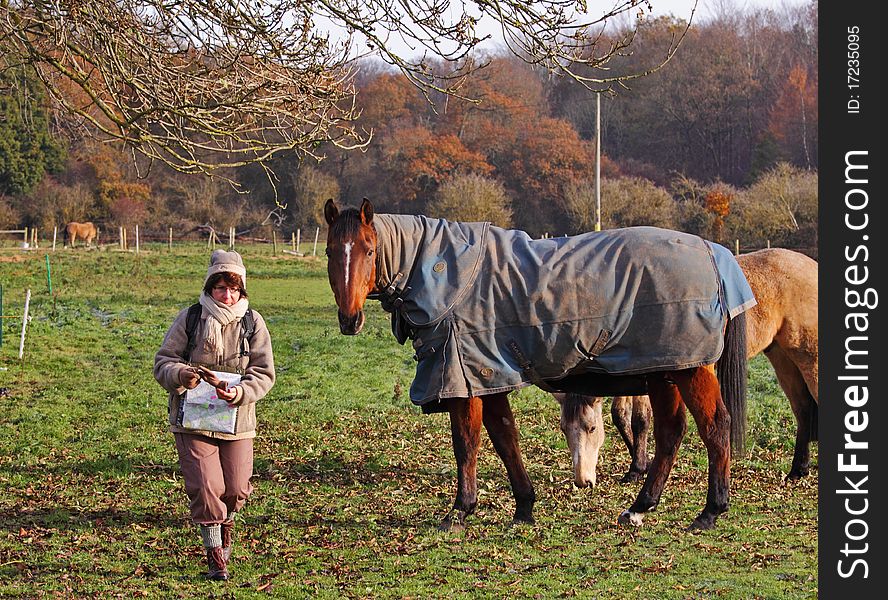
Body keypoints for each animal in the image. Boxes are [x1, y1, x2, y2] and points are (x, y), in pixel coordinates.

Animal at [322, 200, 752, 528]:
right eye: (330, 251)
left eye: (369, 250)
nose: (349, 319)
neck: (448, 274)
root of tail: (714, 252)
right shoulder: (488, 377)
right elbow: (505, 438)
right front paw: (524, 507)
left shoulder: (464, 381)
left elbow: (467, 443)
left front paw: (460, 511)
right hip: (665, 370)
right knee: (670, 433)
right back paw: (639, 508)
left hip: (688, 369)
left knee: (715, 428)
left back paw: (710, 511)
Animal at [560, 248, 820, 488]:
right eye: (564, 429)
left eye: (592, 428)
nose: (582, 481)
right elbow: (620, 416)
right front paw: (640, 465)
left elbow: (640, 420)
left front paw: (637, 469)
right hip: (783, 359)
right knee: (803, 409)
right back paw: (798, 470)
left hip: (809, 359)